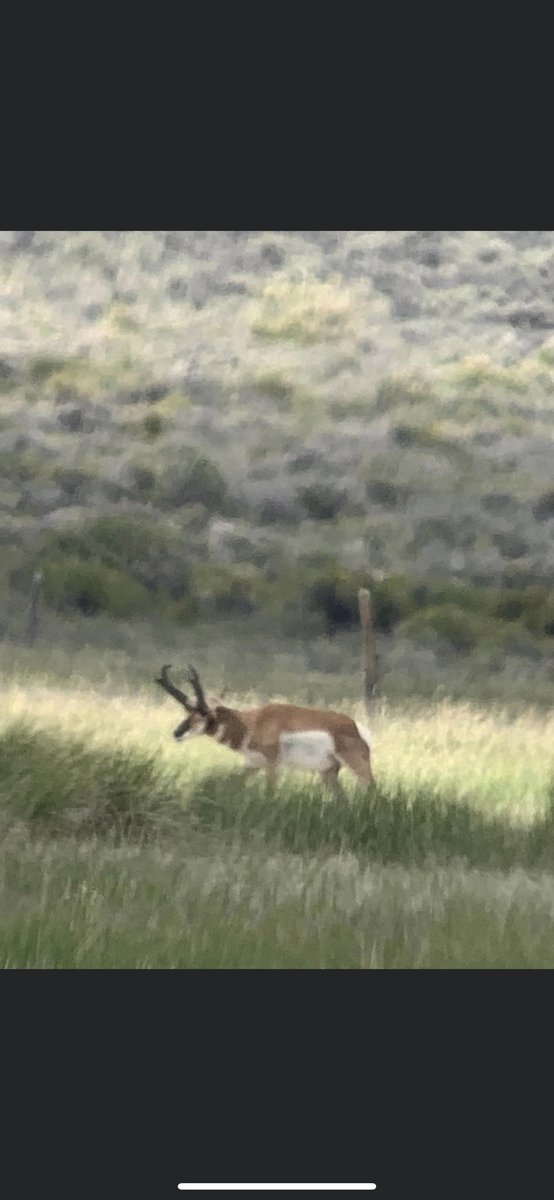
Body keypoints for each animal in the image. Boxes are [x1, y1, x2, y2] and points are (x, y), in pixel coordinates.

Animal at [155, 664, 374, 796]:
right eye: (187, 713)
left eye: (204, 715)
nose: (177, 733)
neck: (252, 723)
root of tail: (356, 726)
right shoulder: (252, 764)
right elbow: (231, 783)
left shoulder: (271, 764)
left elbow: (270, 792)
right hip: (328, 772)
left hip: (356, 765)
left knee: (371, 789)